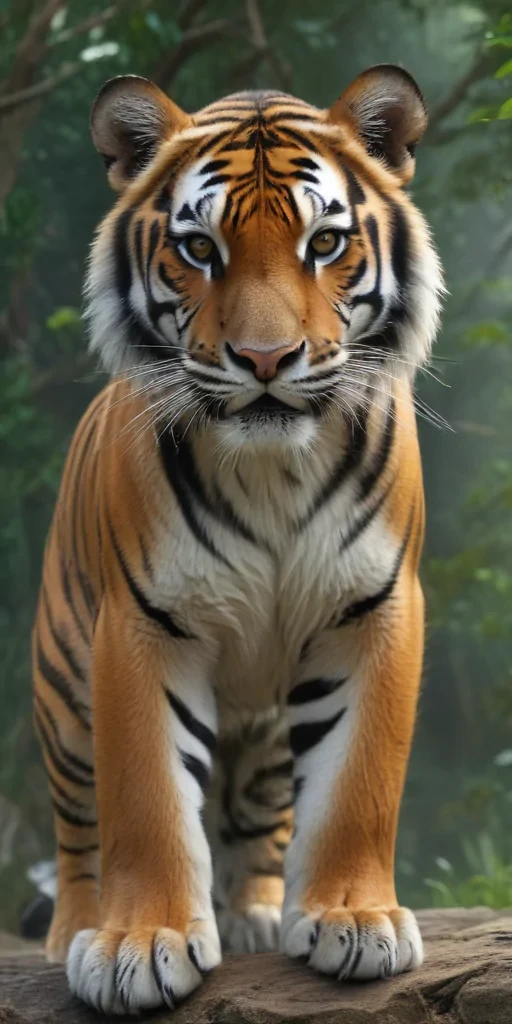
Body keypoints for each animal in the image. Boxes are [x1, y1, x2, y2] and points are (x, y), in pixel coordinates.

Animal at [32, 65, 443, 1014]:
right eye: (199, 249)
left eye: (325, 244)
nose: (264, 360)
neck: (271, 472)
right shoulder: (139, 624)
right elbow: (145, 799)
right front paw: (138, 945)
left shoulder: (374, 608)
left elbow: (358, 783)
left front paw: (355, 921)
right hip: (64, 696)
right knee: (79, 828)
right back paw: (74, 928)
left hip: (264, 728)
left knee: (259, 816)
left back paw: (256, 913)